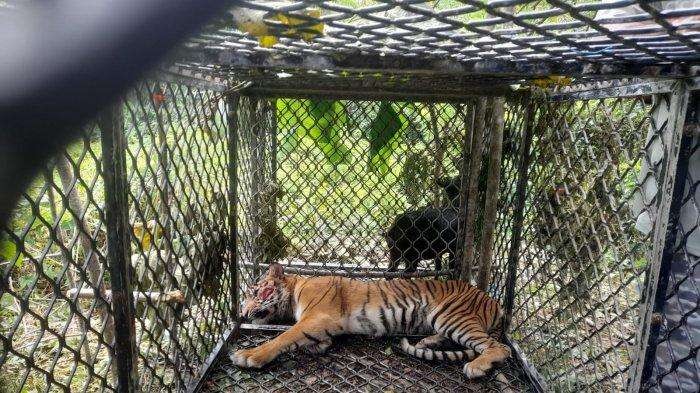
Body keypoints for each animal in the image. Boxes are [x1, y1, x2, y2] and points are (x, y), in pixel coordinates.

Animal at [232, 262, 512, 378]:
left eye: (256, 293)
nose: (243, 314)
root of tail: (493, 300)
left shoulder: (318, 316)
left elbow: (283, 336)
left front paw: (249, 355)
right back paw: (426, 343)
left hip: (451, 315)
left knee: (500, 347)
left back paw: (476, 367)